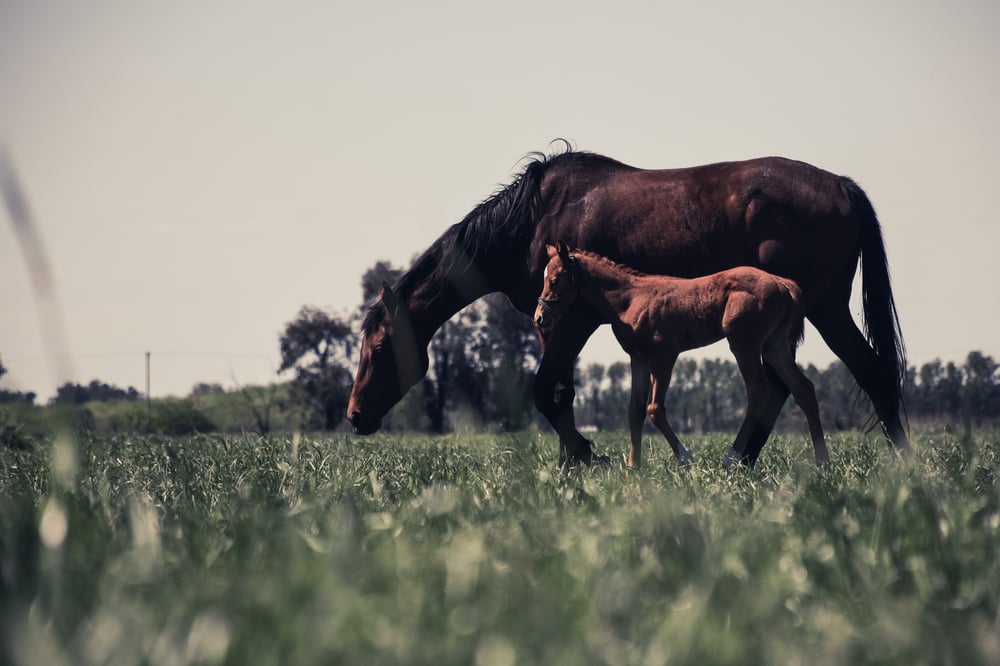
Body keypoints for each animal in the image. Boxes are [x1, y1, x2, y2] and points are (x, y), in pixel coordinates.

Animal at [534, 242, 830, 468]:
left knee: (759, 391)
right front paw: (633, 466)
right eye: (544, 277)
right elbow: (634, 409)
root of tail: (784, 284)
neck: (630, 298)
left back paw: (731, 459)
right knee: (803, 388)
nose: (539, 318)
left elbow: (654, 408)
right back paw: (822, 462)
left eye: (555, 279)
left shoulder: (665, 355)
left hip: (744, 344)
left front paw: (686, 459)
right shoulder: (638, 358)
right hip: (774, 347)